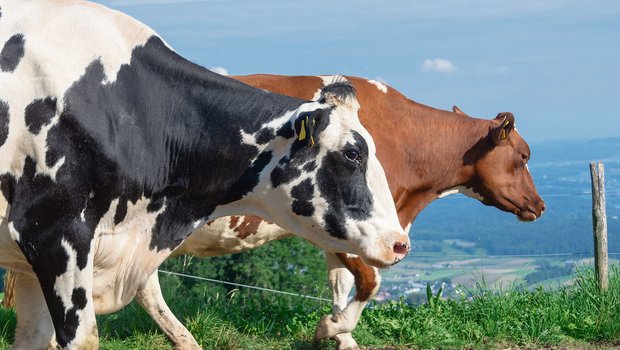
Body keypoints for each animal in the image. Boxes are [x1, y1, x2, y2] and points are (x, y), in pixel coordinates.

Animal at [1, 73, 544, 348]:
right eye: (523, 156)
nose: (539, 205)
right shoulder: (346, 223)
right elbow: (369, 282)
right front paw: (331, 330)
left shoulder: (344, 230)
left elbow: (343, 284)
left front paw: (342, 338)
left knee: (147, 289)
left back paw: (186, 341)